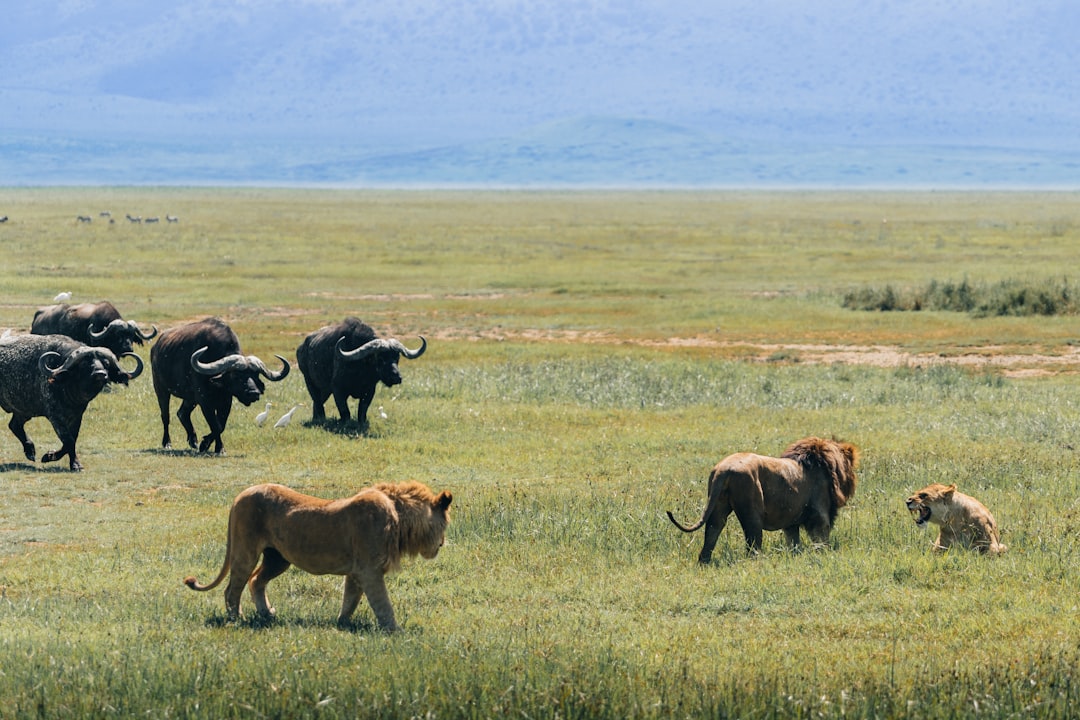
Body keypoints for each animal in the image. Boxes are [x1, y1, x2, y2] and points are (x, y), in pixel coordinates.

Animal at [0, 334, 143, 471]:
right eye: (85, 364)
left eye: (106, 364)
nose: (100, 374)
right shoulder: (55, 417)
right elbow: (68, 440)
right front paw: (75, 464)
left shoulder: (77, 416)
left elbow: (72, 439)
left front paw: (49, 456)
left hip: (24, 410)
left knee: (14, 425)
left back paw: (30, 451)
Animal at [151, 318, 290, 454]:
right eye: (237, 376)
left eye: (256, 375)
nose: (254, 393)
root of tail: (155, 347)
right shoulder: (204, 401)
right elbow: (215, 425)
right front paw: (216, 447)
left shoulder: (226, 401)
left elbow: (221, 425)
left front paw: (206, 444)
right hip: (161, 390)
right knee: (165, 416)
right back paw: (167, 443)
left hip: (190, 398)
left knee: (182, 413)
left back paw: (193, 441)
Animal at [184, 480, 452, 631]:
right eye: (445, 524)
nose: (442, 544)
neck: (399, 516)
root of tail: (239, 495)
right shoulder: (369, 570)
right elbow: (383, 604)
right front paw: (395, 631)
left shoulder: (357, 572)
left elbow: (350, 600)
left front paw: (342, 624)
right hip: (245, 551)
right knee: (232, 589)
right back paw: (236, 619)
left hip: (278, 559)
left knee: (256, 581)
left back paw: (267, 614)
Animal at [296, 318, 426, 428]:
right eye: (380, 358)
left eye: (397, 358)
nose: (396, 377)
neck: (360, 369)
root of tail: (302, 347)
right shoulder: (338, 389)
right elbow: (345, 411)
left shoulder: (369, 391)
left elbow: (362, 410)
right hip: (309, 381)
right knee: (317, 401)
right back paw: (320, 419)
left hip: (325, 389)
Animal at [667, 436, 858, 563]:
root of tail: (723, 470)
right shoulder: (820, 513)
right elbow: (820, 536)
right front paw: (823, 553)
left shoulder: (791, 521)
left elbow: (793, 541)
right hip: (752, 508)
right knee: (752, 543)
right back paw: (758, 562)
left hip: (718, 506)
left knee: (712, 532)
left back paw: (704, 562)